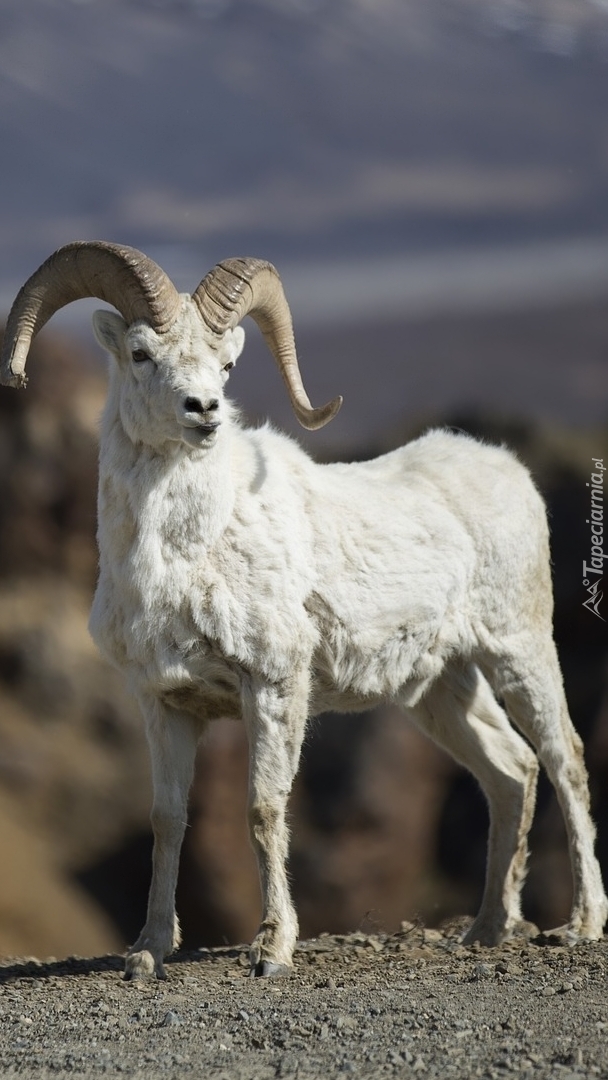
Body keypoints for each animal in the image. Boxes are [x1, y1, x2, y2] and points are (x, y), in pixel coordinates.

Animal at [2, 241, 606, 980]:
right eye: (141, 353)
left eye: (227, 364)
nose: (203, 409)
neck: (182, 557)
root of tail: (509, 472)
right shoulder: (164, 705)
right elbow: (167, 821)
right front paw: (147, 952)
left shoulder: (272, 685)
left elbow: (264, 810)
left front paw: (272, 950)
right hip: (441, 689)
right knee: (510, 771)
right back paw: (486, 930)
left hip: (517, 651)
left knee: (563, 758)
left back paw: (582, 925)